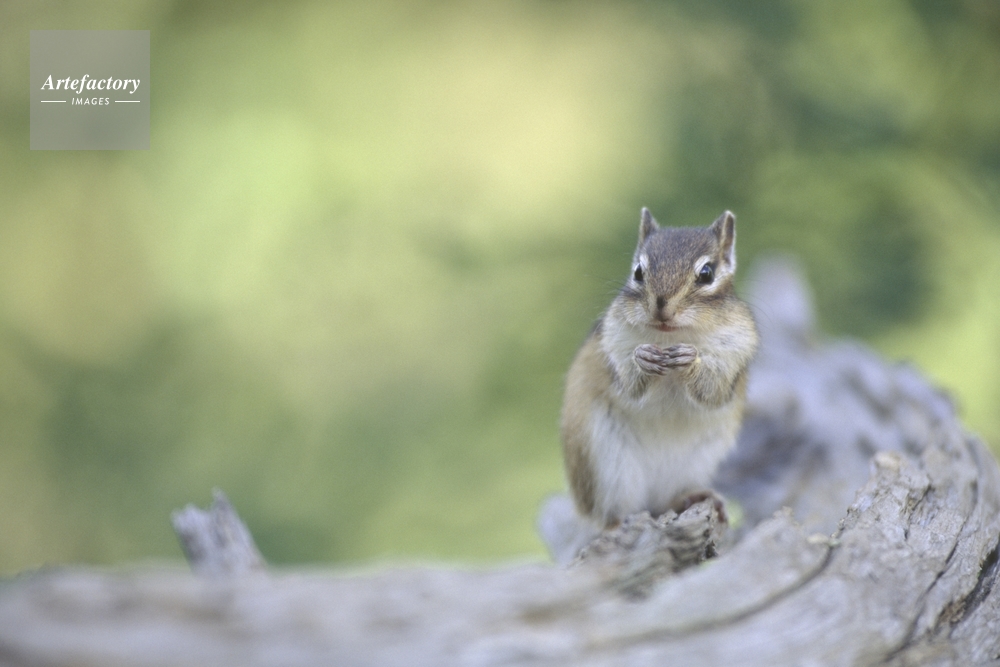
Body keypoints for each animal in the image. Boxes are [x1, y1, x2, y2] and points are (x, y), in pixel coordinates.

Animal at [560, 208, 758, 530]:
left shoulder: (734, 354)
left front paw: (691, 360)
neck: (670, 336)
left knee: (666, 501)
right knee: (610, 515)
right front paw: (643, 360)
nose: (661, 306)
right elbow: (629, 385)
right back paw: (617, 522)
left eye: (707, 273)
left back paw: (695, 497)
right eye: (638, 272)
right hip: (605, 466)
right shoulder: (612, 344)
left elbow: (712, 393)